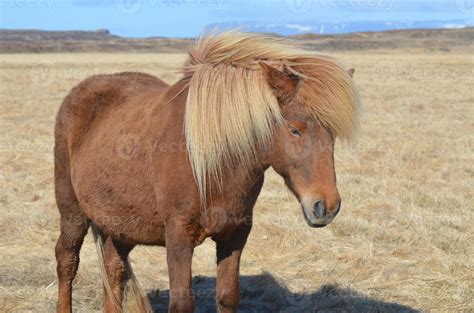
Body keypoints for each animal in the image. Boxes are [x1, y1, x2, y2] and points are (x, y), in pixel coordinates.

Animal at [53, 30, 362, 310]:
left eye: (332, 133)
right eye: (295, 129)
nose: (326, 207)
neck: (214, 164)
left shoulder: (235, 234)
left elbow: (227, 297)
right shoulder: (178, 236)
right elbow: (182, 302)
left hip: (121, 223)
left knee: (113, 269)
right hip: (73, 212)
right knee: (67, 262)